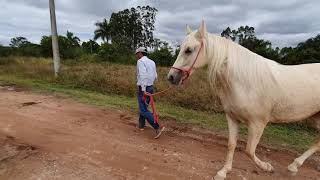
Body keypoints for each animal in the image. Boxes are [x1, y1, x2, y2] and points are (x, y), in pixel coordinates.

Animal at [168, 20, 320, 179]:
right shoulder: (232, 118)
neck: (246, 82)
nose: (171, 77)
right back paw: (295, 166)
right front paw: (223, 172)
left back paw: (293, 166)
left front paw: (267, 167)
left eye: (189, 50)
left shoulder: (258, 124)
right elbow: (231, 145)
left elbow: (249, 150)